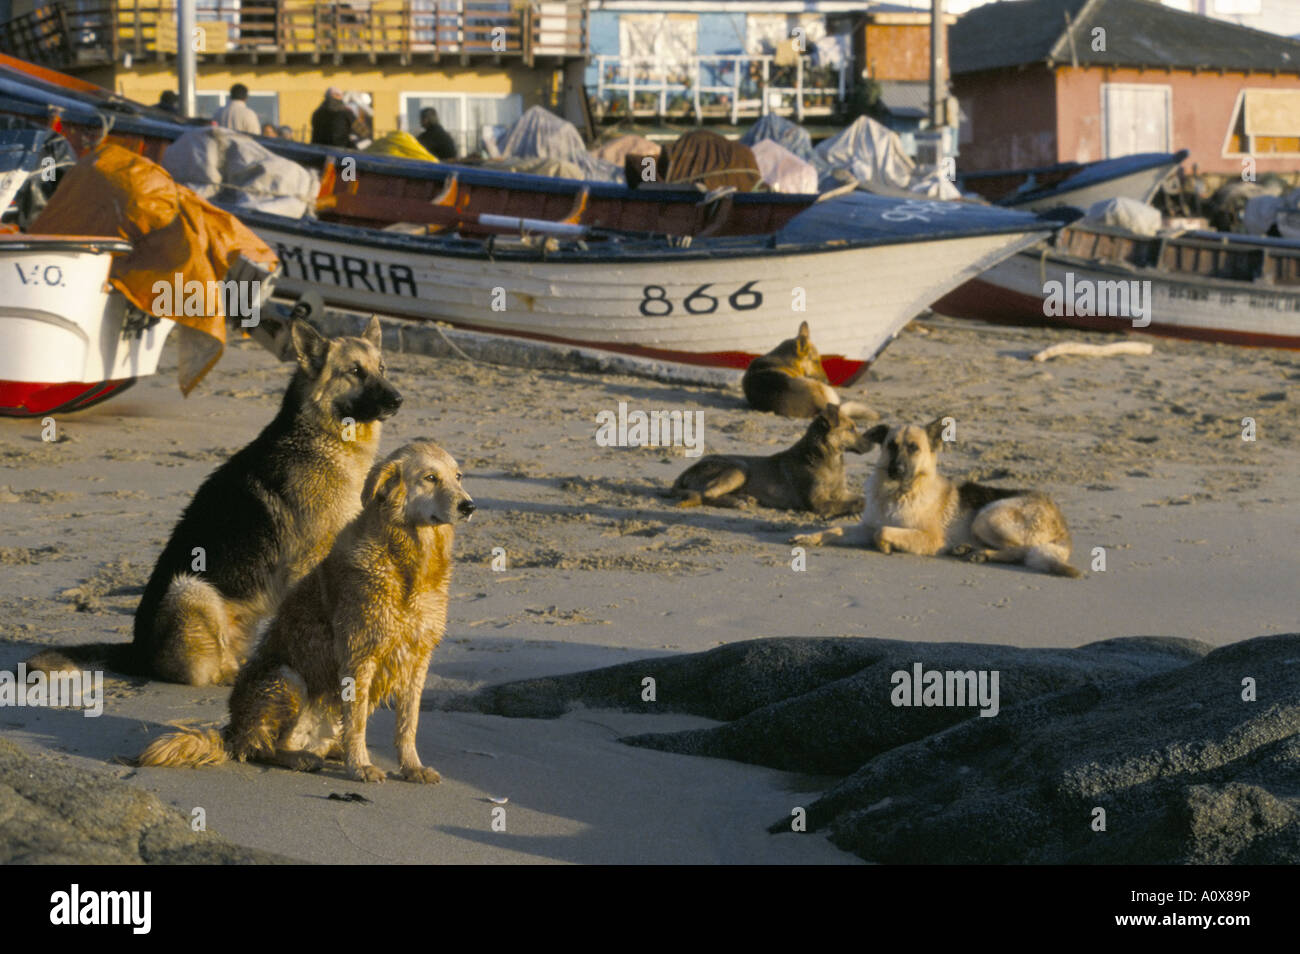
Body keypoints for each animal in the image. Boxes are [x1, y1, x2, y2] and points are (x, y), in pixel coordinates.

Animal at [25, 319, 400, 686]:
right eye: (355, 371)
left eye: (382, 368)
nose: (399, 400)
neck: (323, 438)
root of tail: (136, 651)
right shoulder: (307, 561)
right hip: (190, 588)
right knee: (202, 672)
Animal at [139, 441, 475, 785]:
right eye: (430, 477)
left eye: (458, 476)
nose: (469, 506)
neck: (409, 561)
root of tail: (232, 731)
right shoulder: (359, 656)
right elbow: (356, 723)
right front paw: (361, 766)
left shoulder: (417, 659)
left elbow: (408, 724)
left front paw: (412, 767)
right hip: (287, 678)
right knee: (264, 746)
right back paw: (302, 757)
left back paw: (330, 751)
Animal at [670, 402, 873, 514]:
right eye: (851, 429)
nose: (872, 444)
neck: (828, 459)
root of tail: (686, 472)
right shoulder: (818, 503)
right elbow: (857, 502)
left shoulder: (842, 492)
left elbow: (861, 497)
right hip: (739, 468)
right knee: (706, 494)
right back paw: (736, 502)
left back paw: (745, 498)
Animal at [795, 415, 1081, 579]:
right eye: (891, 446)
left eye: (914, 448)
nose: (896, 470)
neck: (897, 493)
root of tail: (1062, 523)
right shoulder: (865, 527)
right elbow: (836, 529)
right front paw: (810, 537)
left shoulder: (929, 537)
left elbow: (883, 532)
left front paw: (885, 546)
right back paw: (967, 549)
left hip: (987, 516)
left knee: (1021, 551)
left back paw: (981, 554)